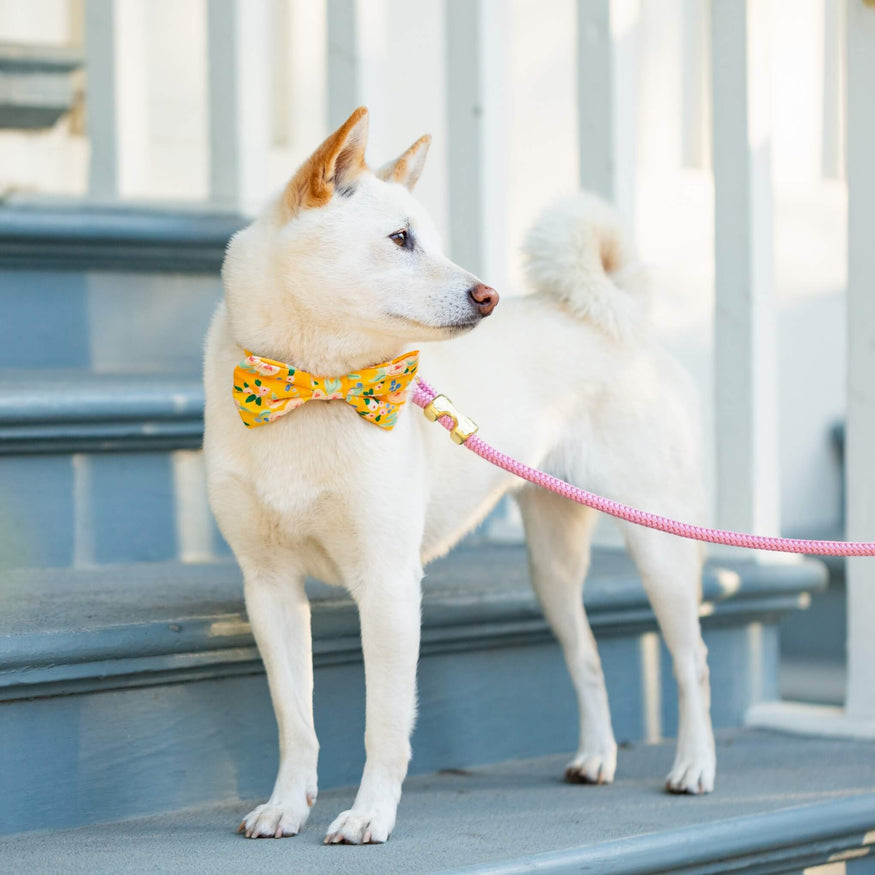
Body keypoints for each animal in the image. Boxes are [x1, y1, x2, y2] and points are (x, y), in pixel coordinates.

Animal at [205, 106, 720, 844]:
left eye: (435, 241)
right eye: (400, 239)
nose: (489, 295)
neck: (313, 389)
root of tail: (621, 319)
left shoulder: (388, 585)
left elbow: (384, 724)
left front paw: (369, 814)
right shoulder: (269, 588)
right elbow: (294, 720)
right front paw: (285, 806)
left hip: (659, 546)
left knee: (691, 662)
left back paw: (694, 766)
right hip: (551, 569)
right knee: (587, 656)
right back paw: (596, 756)